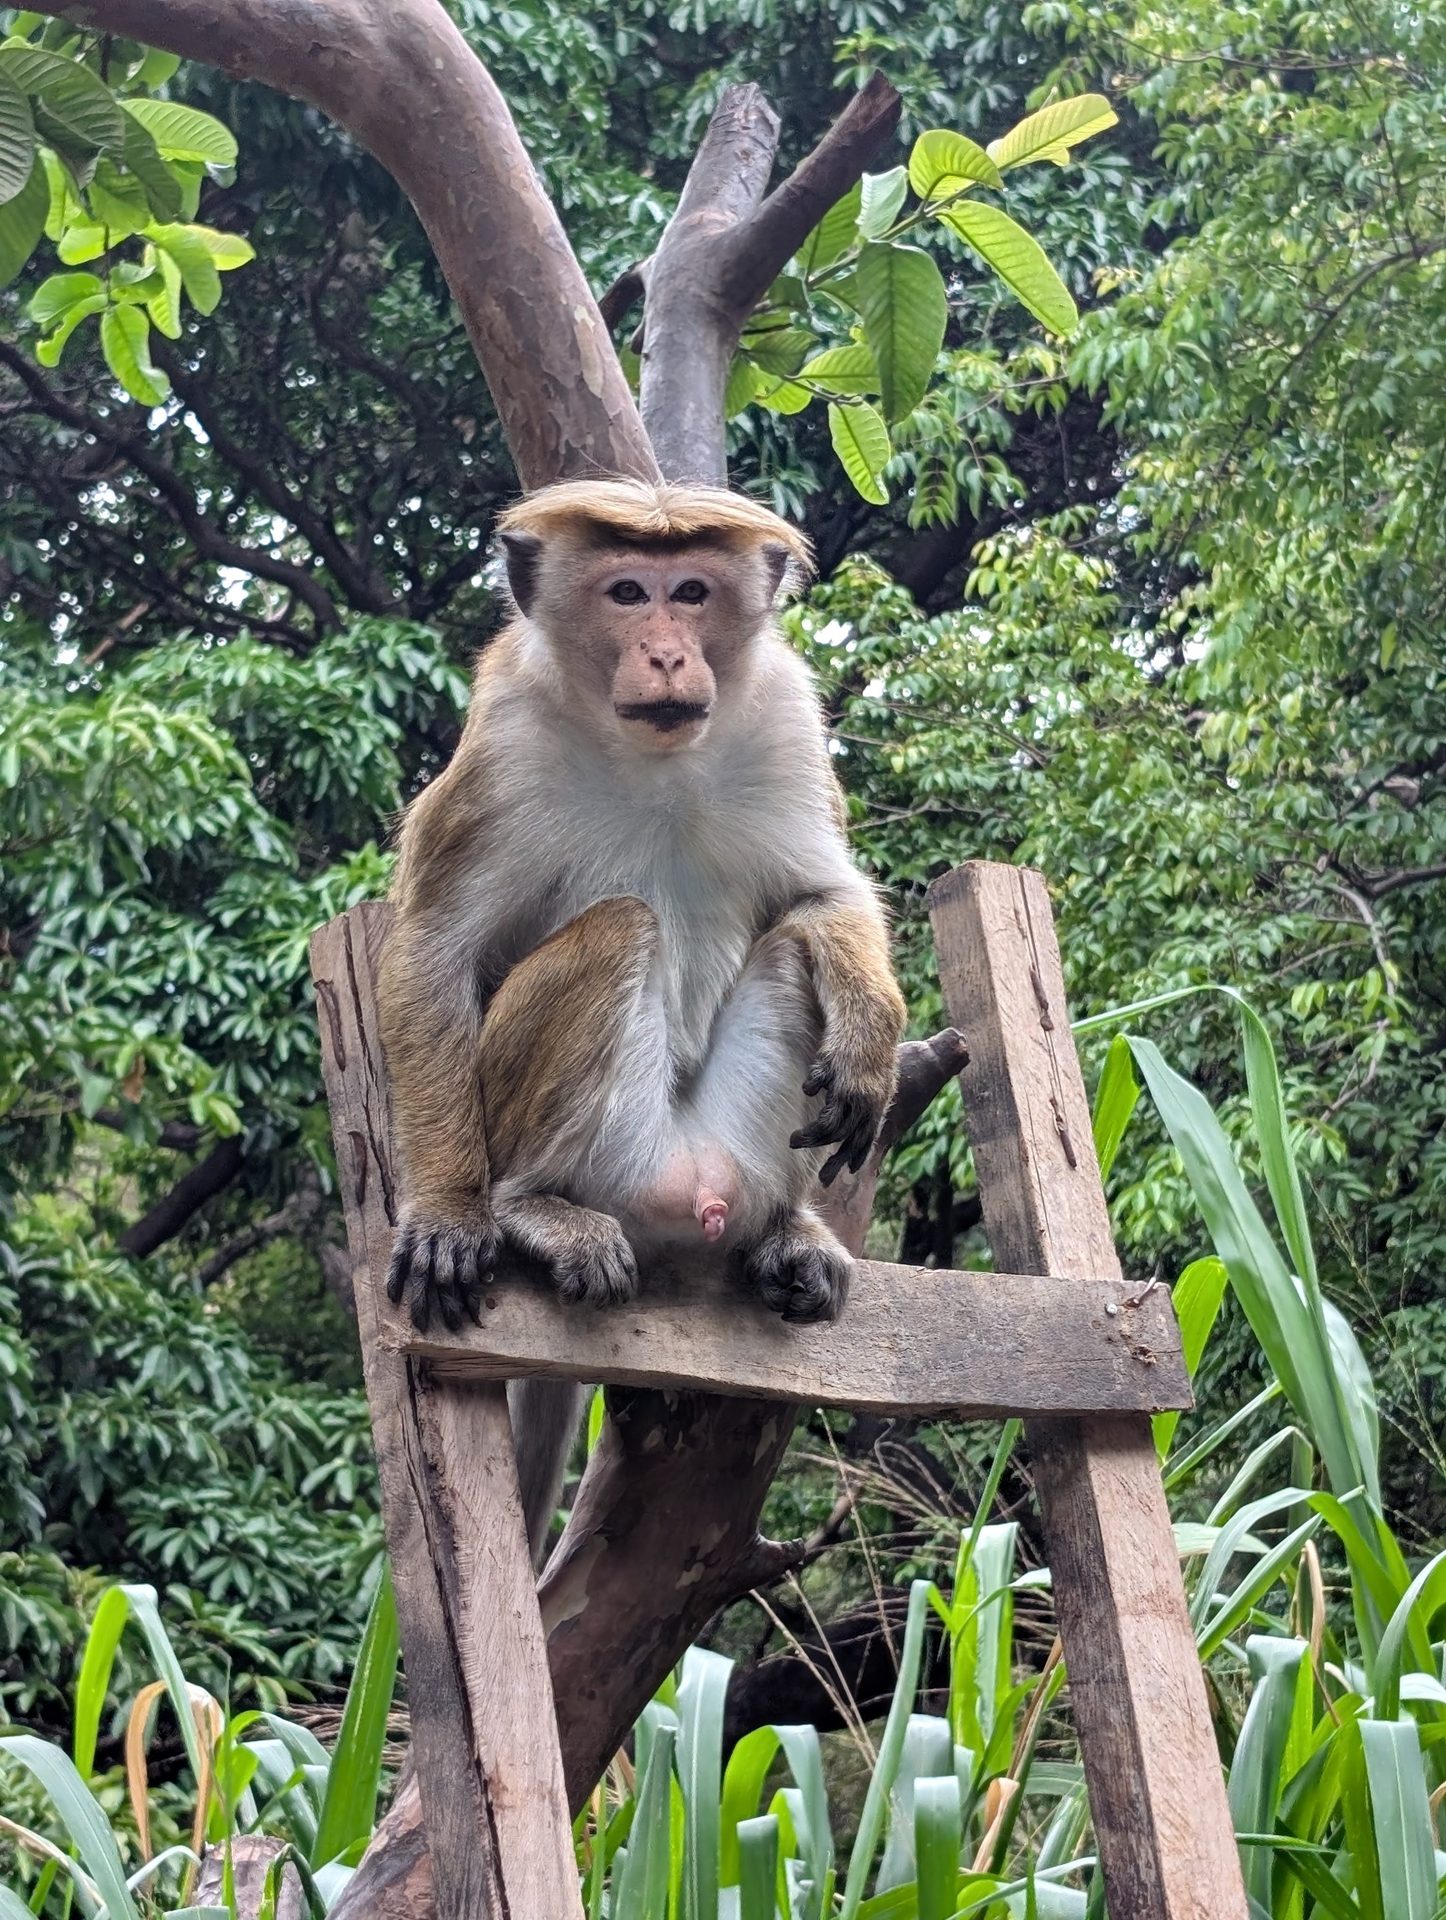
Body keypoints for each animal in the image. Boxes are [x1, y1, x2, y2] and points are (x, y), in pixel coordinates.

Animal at [376, 478, 907, 1557]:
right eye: (627, 592)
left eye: (691, 591)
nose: (667, 652)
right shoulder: (505, 734)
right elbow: (435, 951)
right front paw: (447, 1209)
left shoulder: (784, 711)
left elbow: (821, 896)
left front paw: (870, 1035)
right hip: (600, 1154)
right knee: (621, 925)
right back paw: (527, 1207)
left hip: (732, 1149)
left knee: (791, 959)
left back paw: (784, 1230)